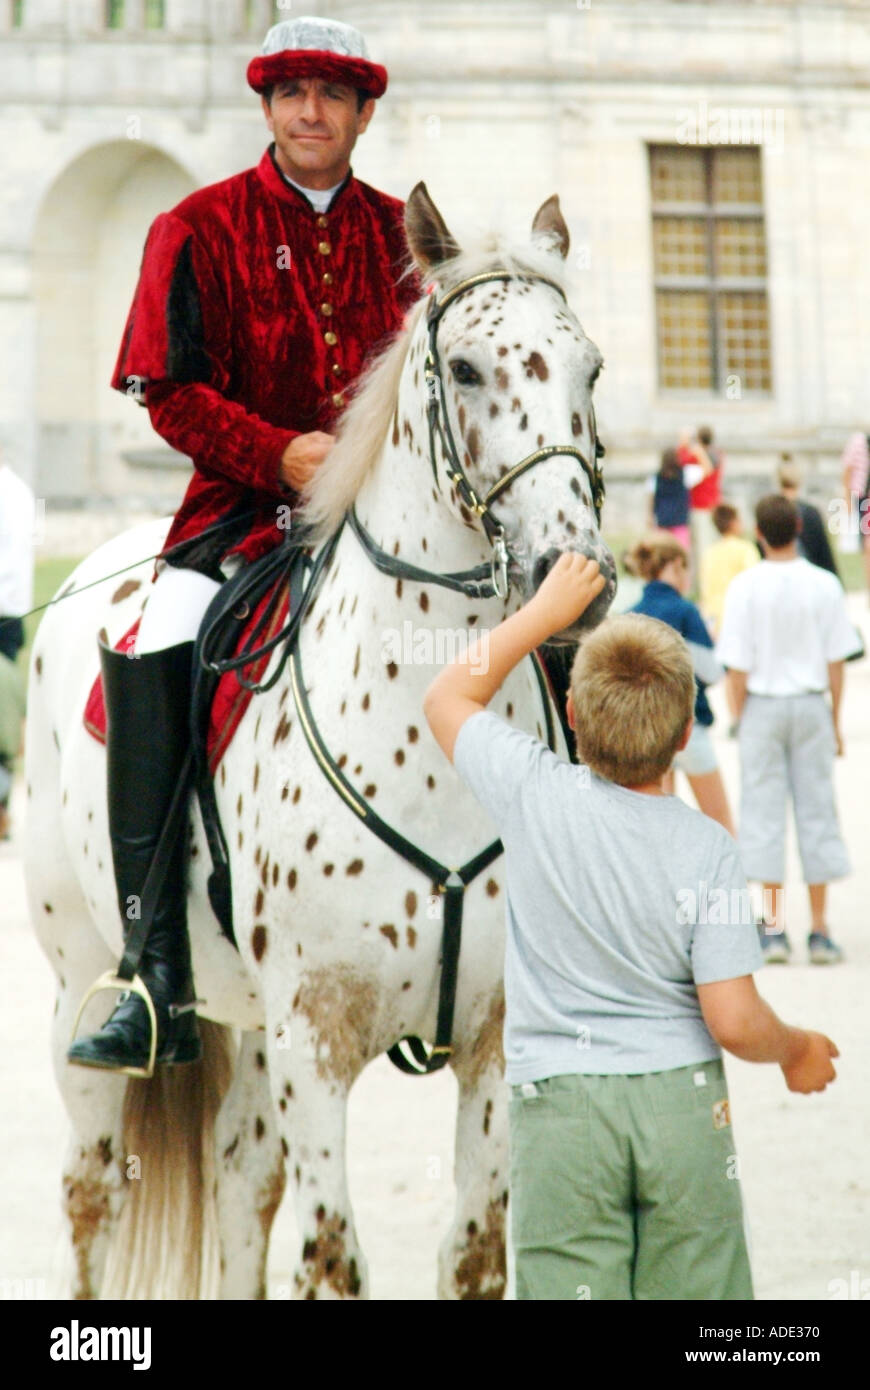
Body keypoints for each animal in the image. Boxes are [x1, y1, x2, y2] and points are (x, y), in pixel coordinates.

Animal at [23, 179, 614, 1295]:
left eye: (589, 367)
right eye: (465, 368)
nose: (576, 572)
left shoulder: (493, 1043)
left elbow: (473, 1253)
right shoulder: (315, 1044)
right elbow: (332, 1259)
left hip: (246, 1022)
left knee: (241, 1176)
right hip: (82, 981)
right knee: (87, 1193)